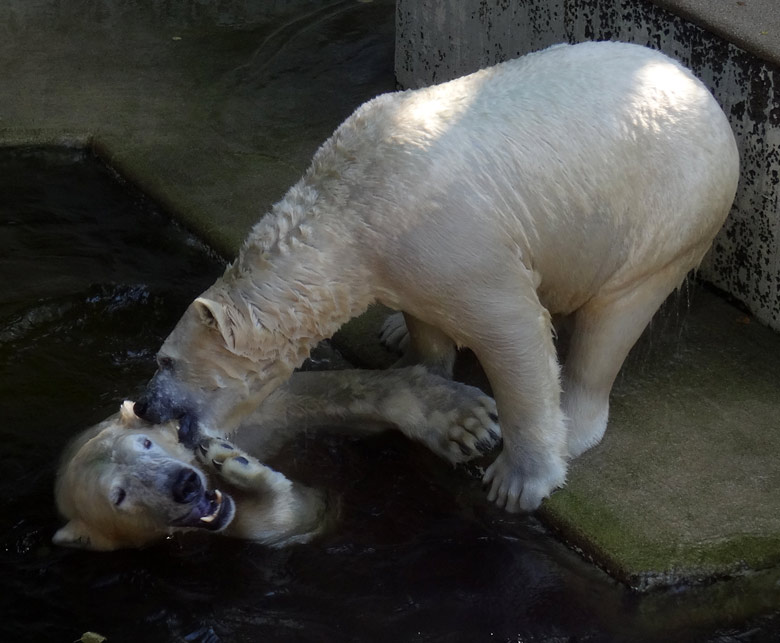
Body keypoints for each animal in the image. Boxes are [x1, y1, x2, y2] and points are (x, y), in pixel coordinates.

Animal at [53, 368, 500, 548]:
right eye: (119, 496)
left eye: (145, 445)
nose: (185, 486)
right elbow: (295, 514)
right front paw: (235, 463)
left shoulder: (235, 419)